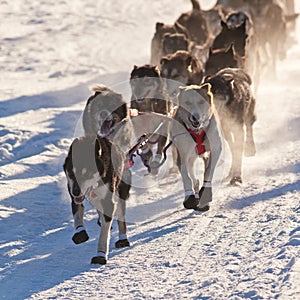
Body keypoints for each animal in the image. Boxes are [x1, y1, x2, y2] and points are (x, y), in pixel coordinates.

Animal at [63, 136, 130, 264]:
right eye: (72, 173)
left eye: (87, 174)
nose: (76, 192)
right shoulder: (74, 196)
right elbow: (77, 214)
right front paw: (80, 232)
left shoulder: (109, 201)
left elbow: (104, 234)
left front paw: (100, 255)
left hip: (120, 190)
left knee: (121, 216)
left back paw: (123, 239)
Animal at [171, 83, 223, 212]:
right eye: (187, 102)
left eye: (201, 101)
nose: (195, 117)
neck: (198, 131)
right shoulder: (183, 155)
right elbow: (186, 177)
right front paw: (190, 198)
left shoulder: (215, 149)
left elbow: (208, 172)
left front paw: (206, 193)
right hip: (190, 159)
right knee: (193, 178)